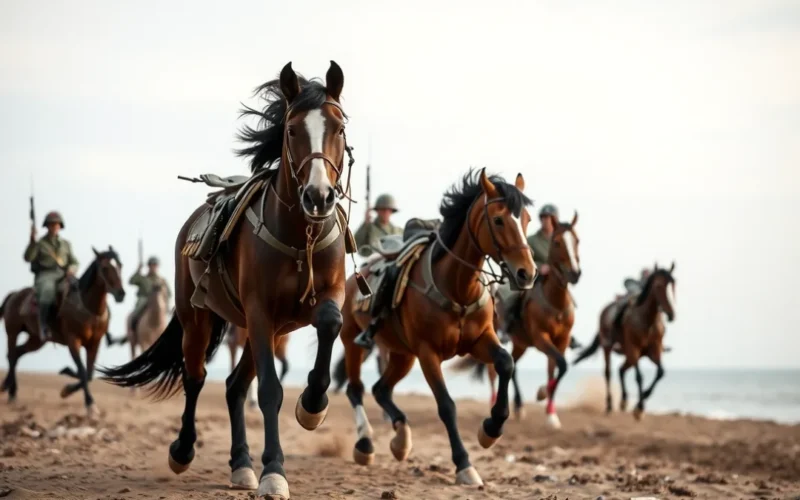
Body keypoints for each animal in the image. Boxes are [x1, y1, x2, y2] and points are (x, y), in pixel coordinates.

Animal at [1, 247, 125, 415]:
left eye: (120, 266)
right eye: (105, 268)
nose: (121, 294)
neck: (88, 308)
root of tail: (14, 295)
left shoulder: (94, 344)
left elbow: (89, 373)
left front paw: (67, 386)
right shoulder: (73, 341)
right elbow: (82, 371)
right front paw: (89, 403)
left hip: (36, 340)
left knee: (17, 352)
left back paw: (12, 392)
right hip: (12, 332)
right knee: (11, 354)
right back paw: (7, 388)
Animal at [101, 61, 354, 499]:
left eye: (339, 128)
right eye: (292, 130)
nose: (319, 196)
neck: (298, 236)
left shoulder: (325, 296)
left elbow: (329, 322)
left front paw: (312, 405)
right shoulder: (258, 311)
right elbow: (269, 390)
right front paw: (274, 472)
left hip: (262, 330)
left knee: (235, 386)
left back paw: (241, 465)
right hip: (199, 319)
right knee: (196, 377)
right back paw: (183, 450)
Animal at [339, 170, 536, 486]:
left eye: (527, 219)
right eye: (498, 220)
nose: (527, 273)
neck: (456, 286)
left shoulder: (480, 340)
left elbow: (505, 363)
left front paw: (491, 429)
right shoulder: (427, 353)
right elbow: (446, 405)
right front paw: (464, 464)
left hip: (402, 355)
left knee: (381, 390)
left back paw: (401, 440)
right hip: (352, 342)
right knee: (356, 390)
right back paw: (366, 444)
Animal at [573, 263, 676, 419]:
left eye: (673, 285)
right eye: (658, 286)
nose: (671, 314)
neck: (647, 320)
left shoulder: (654, 350)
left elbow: (660, 372)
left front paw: (643, 399)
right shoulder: (633, 348)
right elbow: (639, 376)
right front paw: (639, 408)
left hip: (631, 355)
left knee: (621, 370)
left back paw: (623, 401)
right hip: (609, 347)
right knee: (608, 372)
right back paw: (610, 405)